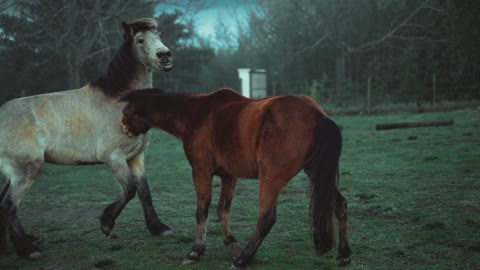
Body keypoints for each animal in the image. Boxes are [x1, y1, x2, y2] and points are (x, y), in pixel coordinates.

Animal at [0, 17, 172, 260]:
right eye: (140, 40)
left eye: (158, 35)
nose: (165, 56)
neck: (119, 101)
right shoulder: (114, 158)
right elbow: (130, 190)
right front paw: (106, 224)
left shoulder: (136, 157)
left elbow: (145, 192)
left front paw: (159, 228)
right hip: (27, 170)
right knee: (9, 206)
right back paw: (28, 249)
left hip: (14, 173)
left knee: (2, 204)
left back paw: (10, 248)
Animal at [121, 88, 352, 268]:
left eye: (125, 112)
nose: (123, 128)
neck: (195, 114)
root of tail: (318, 115)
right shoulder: (229, 176)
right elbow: (222, 210)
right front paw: (231, 243)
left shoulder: (201, 172)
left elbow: (202, 212)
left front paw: (196, 251)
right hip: (317, 174)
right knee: (340, 205)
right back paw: (344, 254)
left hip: (271, 179)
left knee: (266, 219)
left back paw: (243, 259)